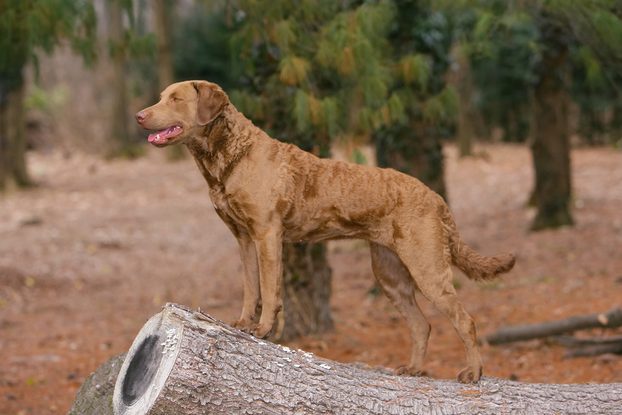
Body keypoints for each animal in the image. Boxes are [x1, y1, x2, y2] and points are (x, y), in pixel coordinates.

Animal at [136, 80, 516, 384]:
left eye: (175, 99)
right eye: (161, 97)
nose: (140, 115)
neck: (229, 156)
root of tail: (437, 198)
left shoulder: (267, 233)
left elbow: (270, 291)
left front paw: (263, 330)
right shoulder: (242, 237)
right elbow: (250, 286)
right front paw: (243, 323)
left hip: (426, 266)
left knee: (465, 320)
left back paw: (473, 373)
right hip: (390, 273)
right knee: (422, 324)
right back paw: (414, 370)